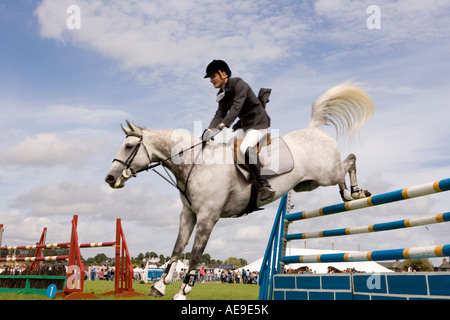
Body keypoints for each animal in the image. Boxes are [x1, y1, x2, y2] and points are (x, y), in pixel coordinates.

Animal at [104, 82, 372, 300]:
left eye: (129, 146)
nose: (110, 178)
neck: (195, 164)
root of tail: (313, 129)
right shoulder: (188, 214)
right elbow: (177, 248)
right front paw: (159, 285)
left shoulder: (207, 218)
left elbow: (195, 255)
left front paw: (182, 291)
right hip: (309, 184)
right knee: (343, 168)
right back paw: (347, 194)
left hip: (326, 174)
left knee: (349, 160)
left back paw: (355, 193)